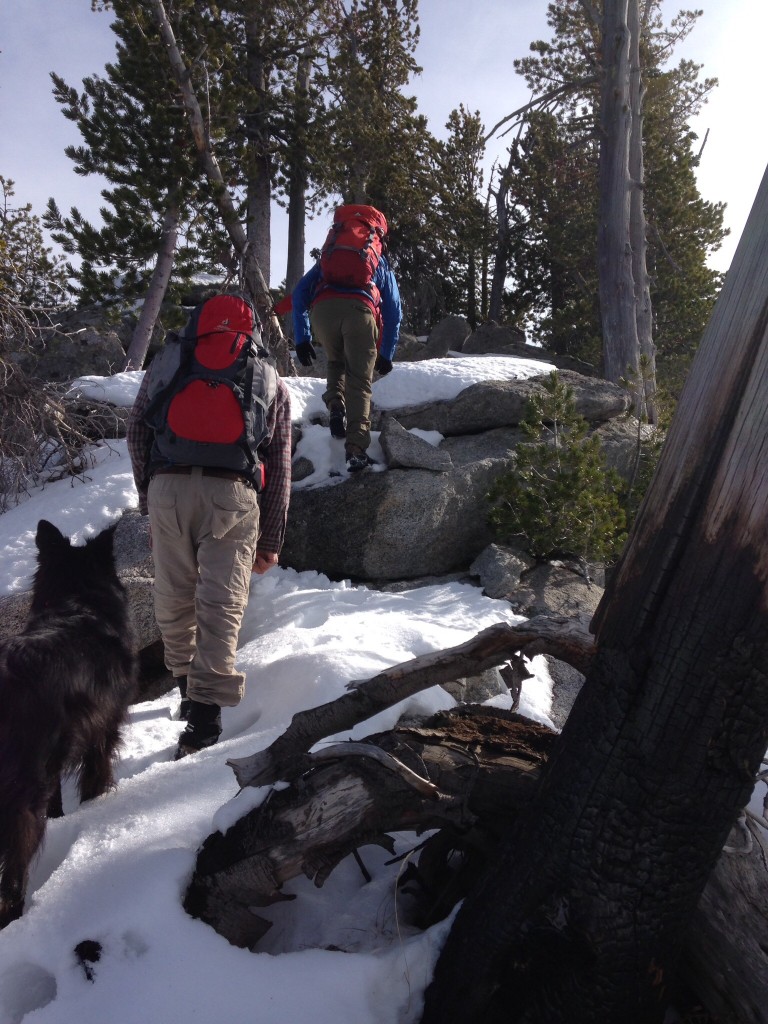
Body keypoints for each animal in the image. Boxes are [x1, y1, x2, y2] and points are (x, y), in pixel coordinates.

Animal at [0, 520, 135, 929]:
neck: (78, 600)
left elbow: (58, 799)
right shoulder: (103, 730)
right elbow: (96, 775)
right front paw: (98, 804)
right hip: (22, 796)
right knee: (11, 879)